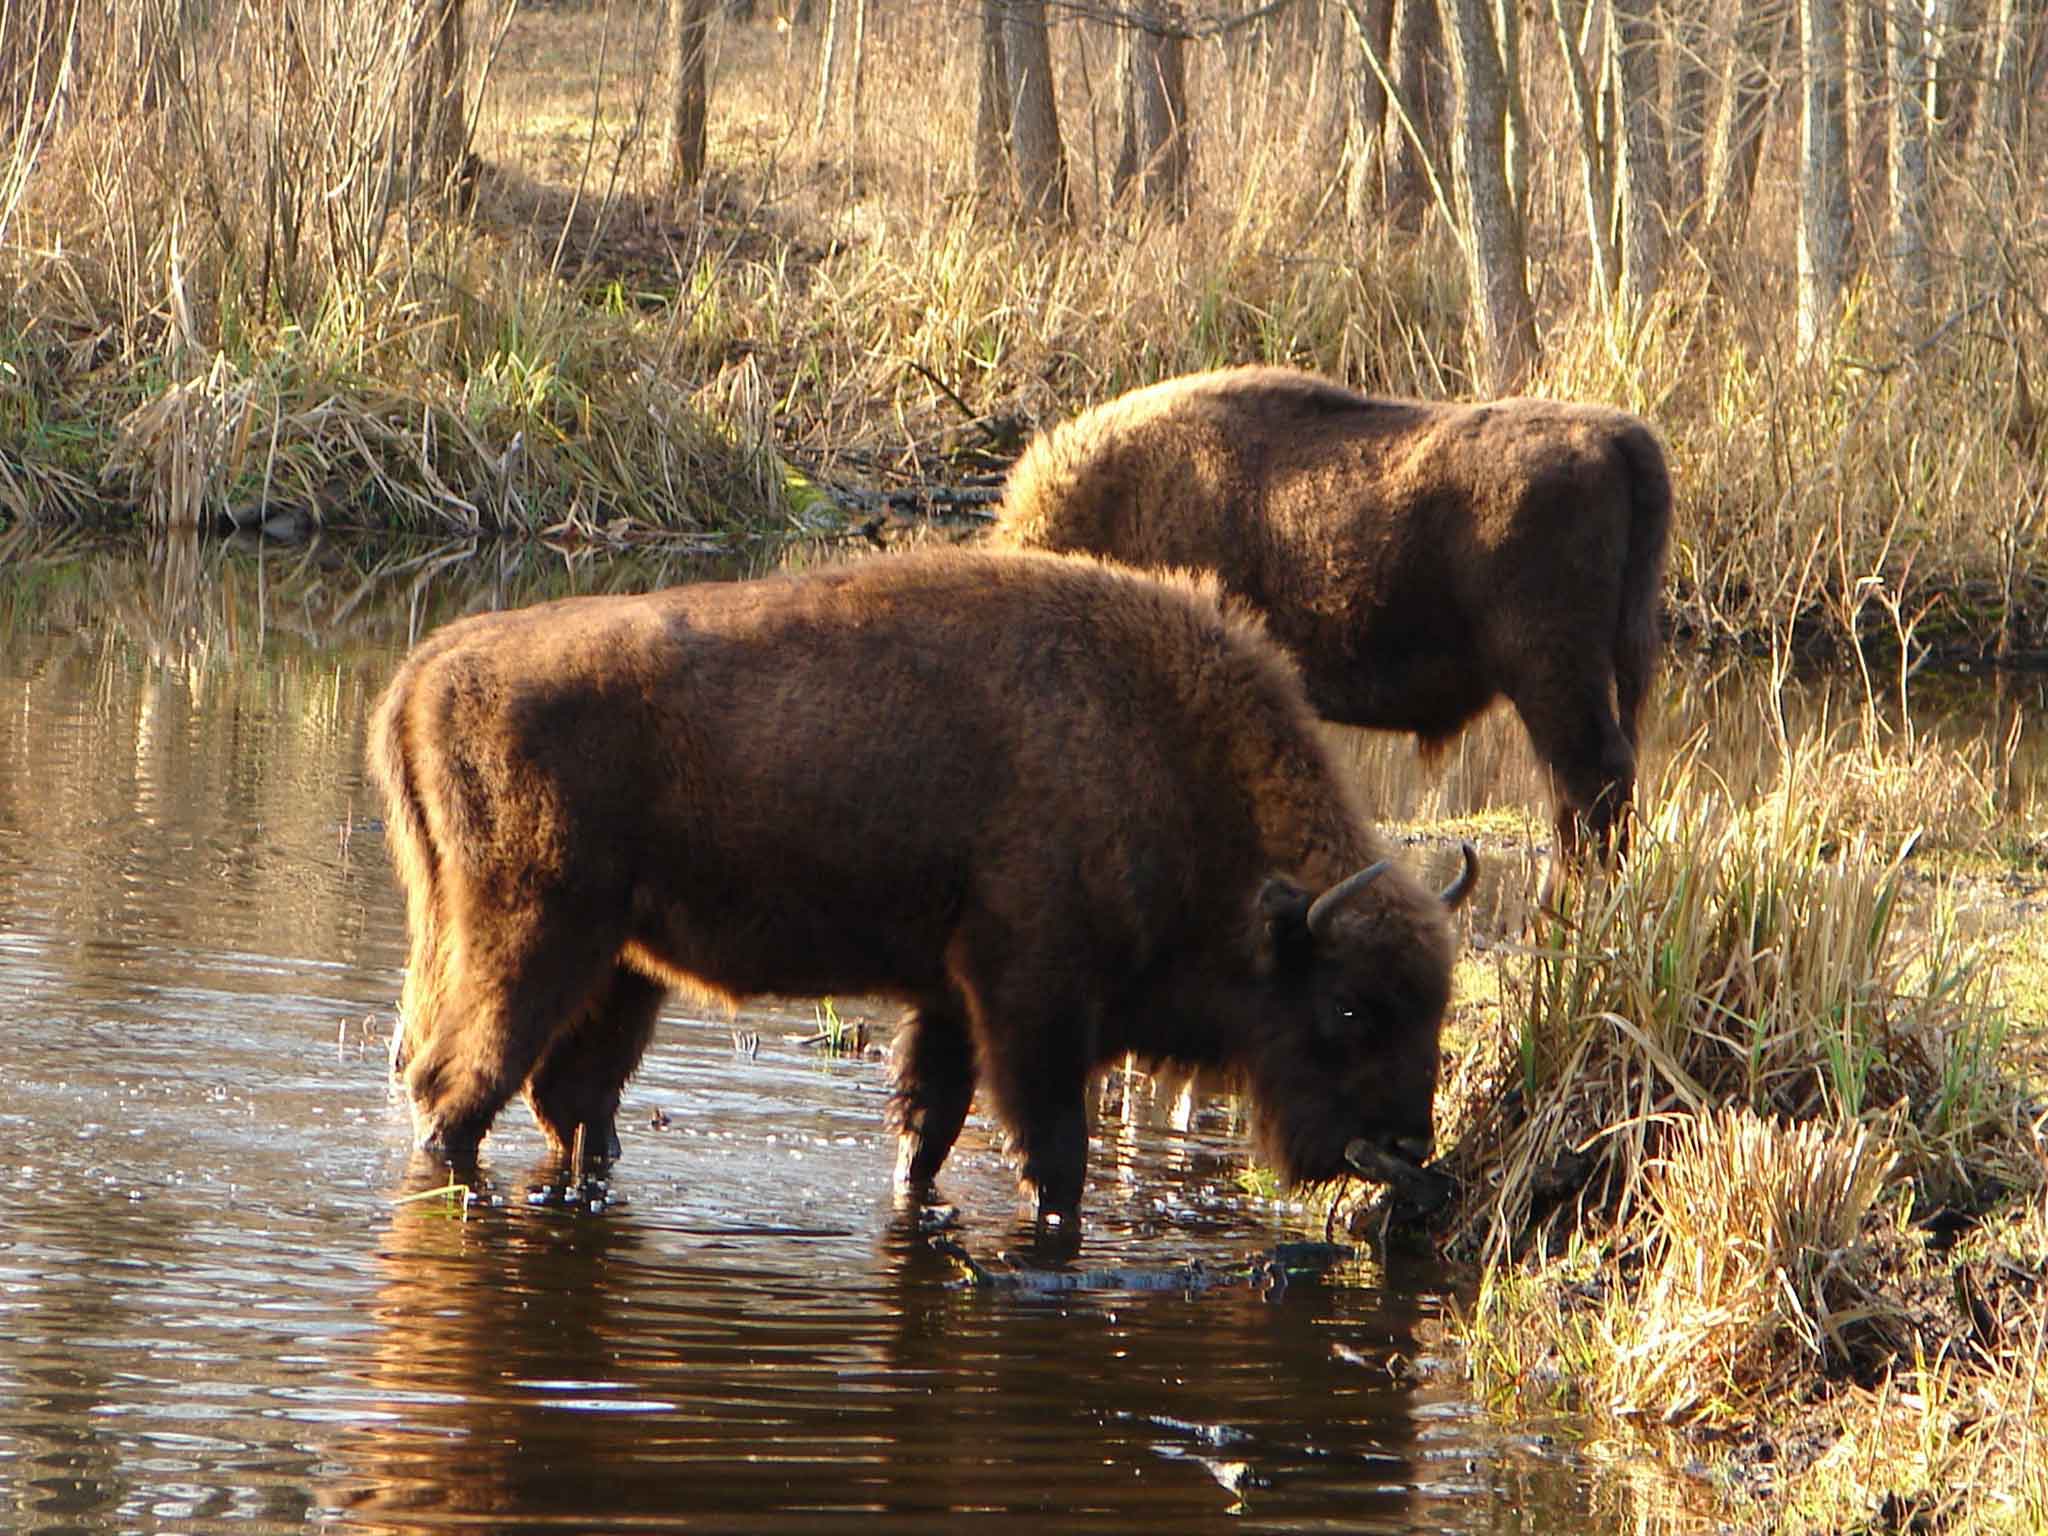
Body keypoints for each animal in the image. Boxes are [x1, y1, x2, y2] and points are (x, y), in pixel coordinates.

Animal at [368, 552, 1482, 1228]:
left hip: (621, 966)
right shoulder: (1031, 1001)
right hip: (529, 943)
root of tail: (428, 668)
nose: (1407, 1147)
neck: (1156, 745)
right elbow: (1052, 1150)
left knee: (571, 1101)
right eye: (1351, 1006)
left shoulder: (949, 1000)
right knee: (456, 1088)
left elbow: (926, 1129)